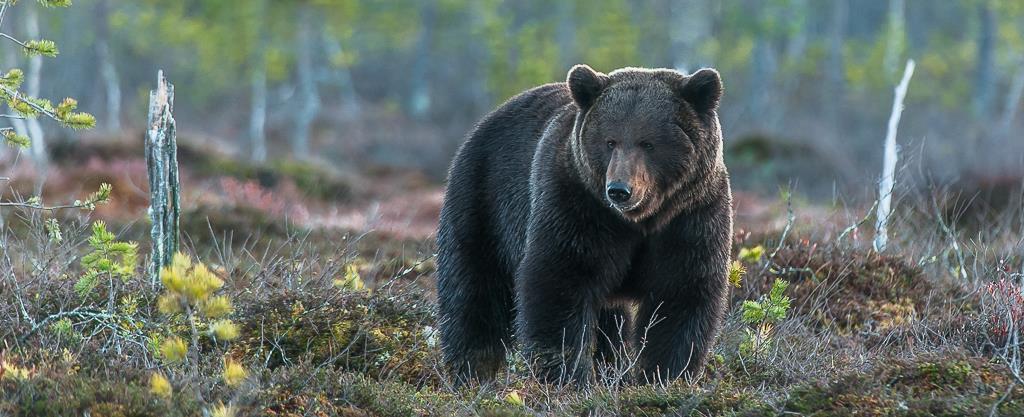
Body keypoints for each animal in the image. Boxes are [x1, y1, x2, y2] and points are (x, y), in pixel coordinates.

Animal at [436, 62, 733, 385]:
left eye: (648, 143)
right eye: (610, 141)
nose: (619, 189)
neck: (640, 220)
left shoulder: (691, 215)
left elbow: (682, 292)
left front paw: (664, 375)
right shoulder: (577, 204)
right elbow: (560, 278)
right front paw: (567, 375)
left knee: (610, 321)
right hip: (484, 199)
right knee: (472, 290)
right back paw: (471, 371)